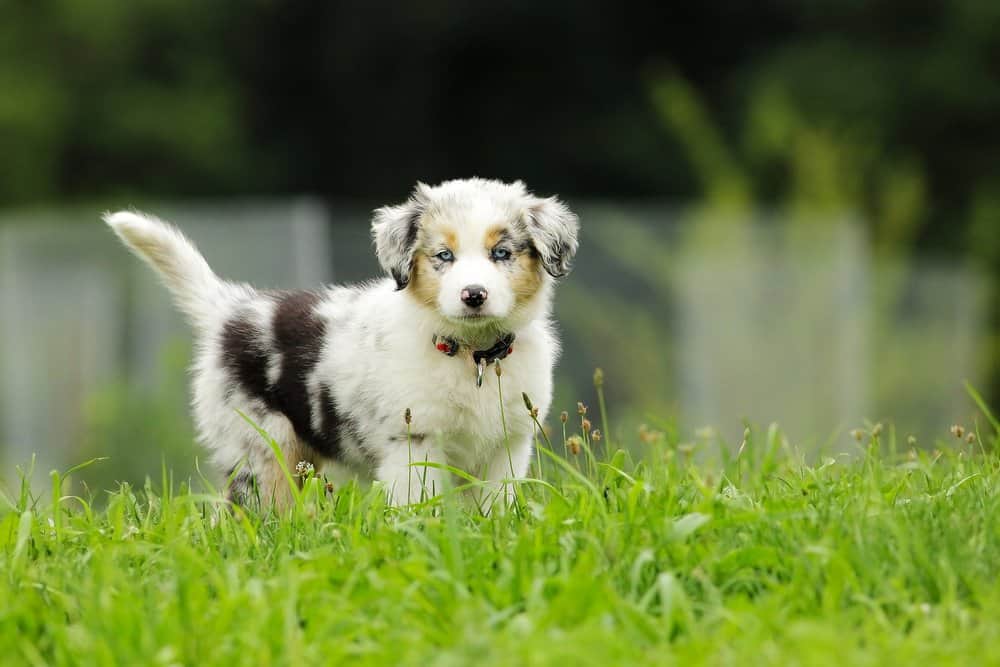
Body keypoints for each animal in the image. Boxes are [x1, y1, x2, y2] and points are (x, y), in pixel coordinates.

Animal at [103, 180, 580, 508]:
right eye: (444, 256)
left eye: (502, 253)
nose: (474, 295)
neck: (471, 354)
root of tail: (232, 308)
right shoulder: (413, 440)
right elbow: (417, 504)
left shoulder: (507, 443)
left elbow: (495, 506)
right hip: (261, 444)